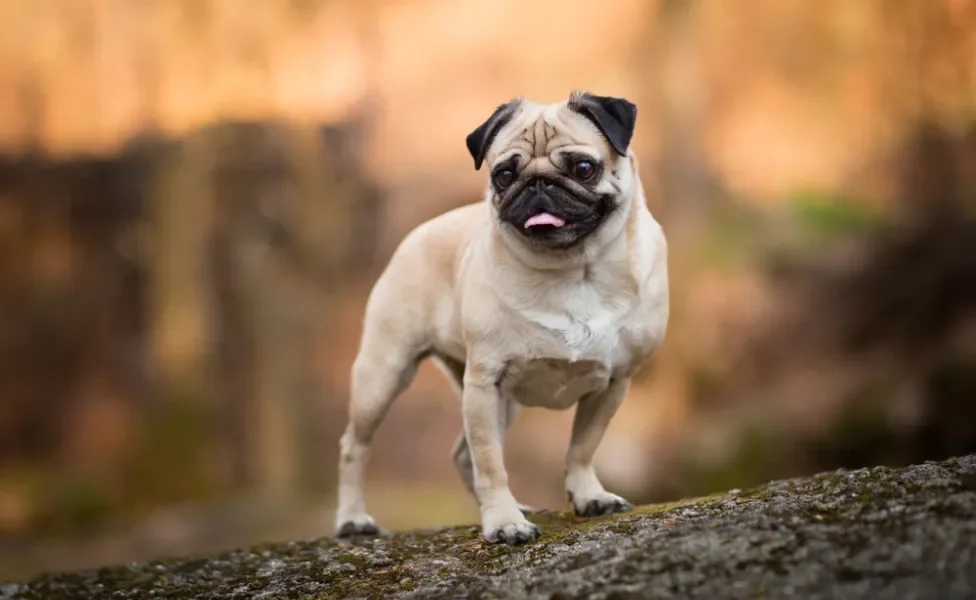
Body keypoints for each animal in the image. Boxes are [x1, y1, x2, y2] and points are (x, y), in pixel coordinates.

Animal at [332, 91, 668, 548]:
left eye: (584, 168)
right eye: (505, 175)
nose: (539, 184)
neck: (573, 270)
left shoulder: (614, 382)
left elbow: (581, 449)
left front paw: (589, 496)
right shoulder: (485, 383)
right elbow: (491, 463)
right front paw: (503, 521)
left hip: (499, 402)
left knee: (461, 454)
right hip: (384, 374)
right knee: (356, 445)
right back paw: (353, 520)